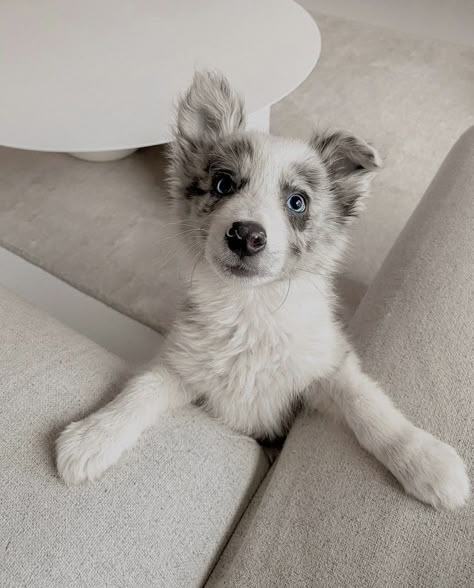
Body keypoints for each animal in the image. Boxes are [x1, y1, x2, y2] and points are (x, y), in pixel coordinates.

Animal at [56, 71, 470, 508]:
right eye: (223, 184)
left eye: (297, 202)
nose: (245, 236)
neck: (250, 307)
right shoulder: (182, 366)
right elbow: (142, 388)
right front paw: (92, 437)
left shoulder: (327, 365)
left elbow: (368, 404)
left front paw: (428, 461)